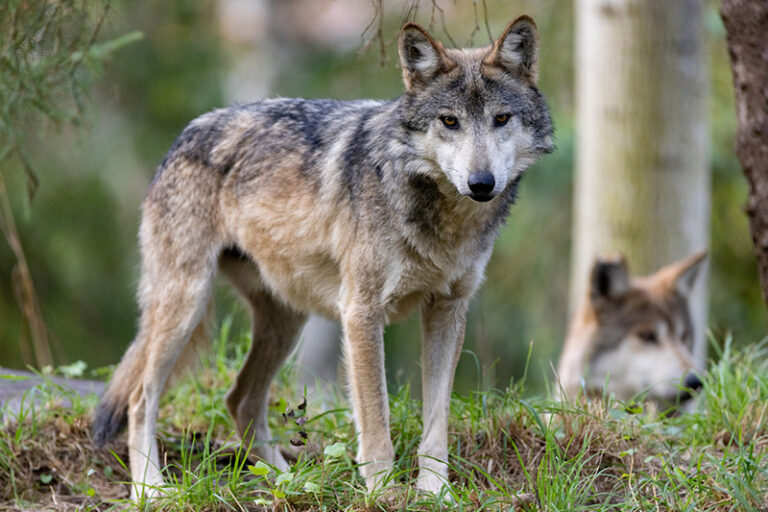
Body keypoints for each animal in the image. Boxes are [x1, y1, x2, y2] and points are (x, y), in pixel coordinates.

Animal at [92, 16, 553, 499]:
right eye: (450, 121)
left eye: (501, 119)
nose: (481, 183)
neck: (440, 216)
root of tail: (183, 134)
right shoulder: (361, 313)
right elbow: (376, 420)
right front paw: (382, 493)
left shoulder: (448, 311)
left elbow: (436, 424)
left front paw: (435, 492)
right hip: (188, 304)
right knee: (141, 399)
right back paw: (150, 489)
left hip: (287, 321)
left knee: (239, 399)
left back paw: (286, 482)